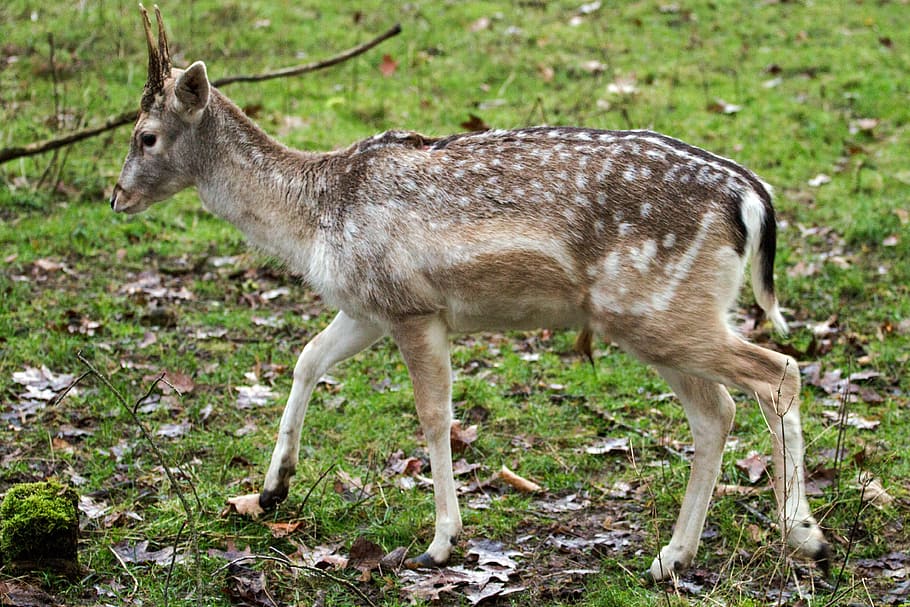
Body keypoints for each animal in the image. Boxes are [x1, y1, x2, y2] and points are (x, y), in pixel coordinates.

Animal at [111, 6, 830, 581]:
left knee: (778, 371)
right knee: (717, 411)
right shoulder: (368, 307)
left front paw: (441, 542)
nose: (115, 197)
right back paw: (672, 556)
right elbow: (307, 358)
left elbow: (434, 417)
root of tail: (753, 198)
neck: (316, 219)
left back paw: (804, 534)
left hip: (656, 311)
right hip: (664, 316)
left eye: (146, 135)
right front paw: (271, 490)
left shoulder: (413, 307)